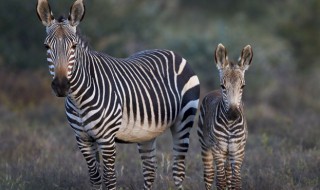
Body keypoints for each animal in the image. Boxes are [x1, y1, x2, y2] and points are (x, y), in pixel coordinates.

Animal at [35, 0, 200, 189]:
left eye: (74, 46)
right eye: (46, 46)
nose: (61, 86)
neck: (78, 99)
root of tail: (173, 52)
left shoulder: (106, 139)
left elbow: (109, 178)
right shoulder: (83, 138)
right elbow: (95, 178)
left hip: (183, 122)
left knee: (178, 170)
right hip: (146, 133)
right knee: (150, 170)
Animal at [198, 43, 252, 189]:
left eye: (243, 86)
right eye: (222, 85)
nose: (233, 114)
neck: (230, 125)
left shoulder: (238, 151)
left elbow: (236, 181)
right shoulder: (218, 150)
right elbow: (220, 182)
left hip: (229, 153)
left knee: (228, 175)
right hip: (205, 145)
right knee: (209, 175)